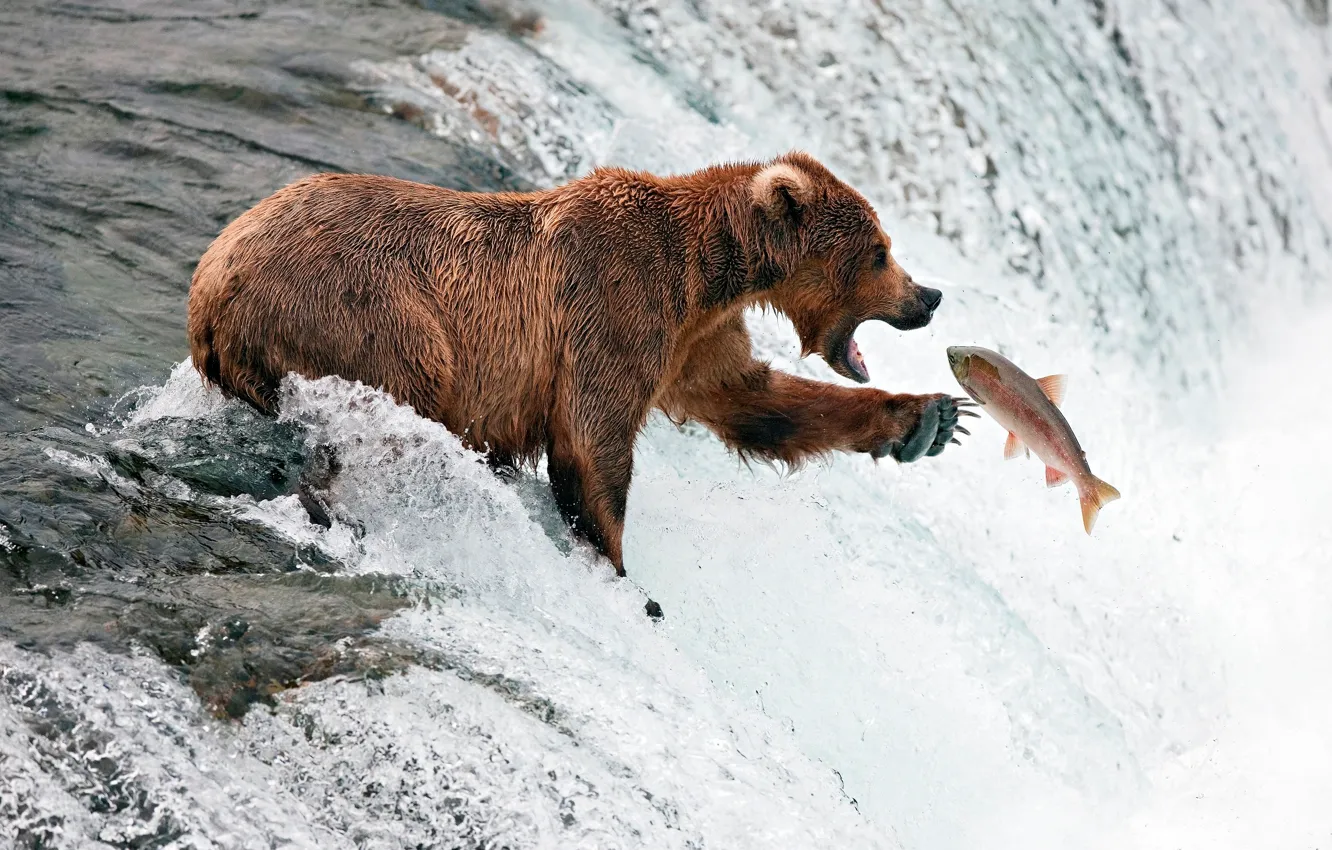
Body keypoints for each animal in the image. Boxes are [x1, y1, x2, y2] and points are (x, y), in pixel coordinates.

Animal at [187, 152, 971, 579]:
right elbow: (594, 442)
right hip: (369, 313)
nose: (929, 296)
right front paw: (617, 567)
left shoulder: (695, 340)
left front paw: (929, 419)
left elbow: (755, 401)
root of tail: (211, 283)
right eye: (880, 251)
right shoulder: (615, 305)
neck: (710, 270)